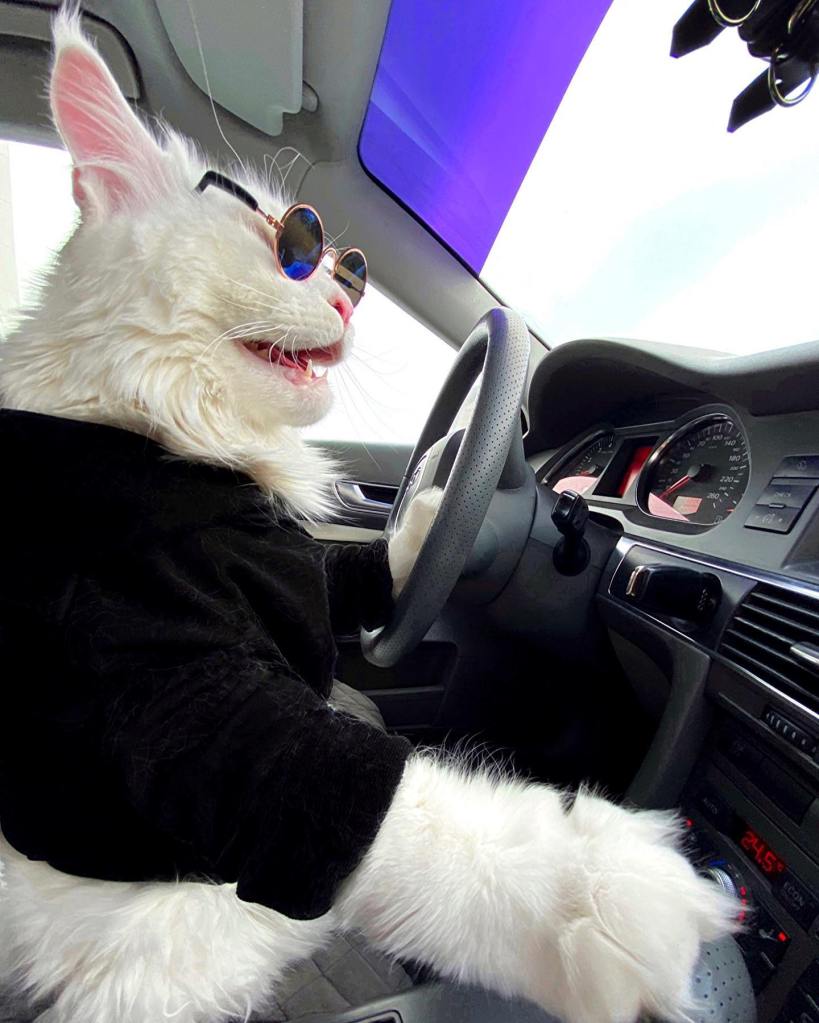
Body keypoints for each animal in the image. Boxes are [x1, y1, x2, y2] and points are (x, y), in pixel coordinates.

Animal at [0, 9, 736, 1023]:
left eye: (337, 257)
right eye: (288, 246)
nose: (346, 290)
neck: (158, 431)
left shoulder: (312, 570)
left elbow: (367, 564)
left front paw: (438, 501)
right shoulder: (175, 679)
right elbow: (411, 829)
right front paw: (612, 898)